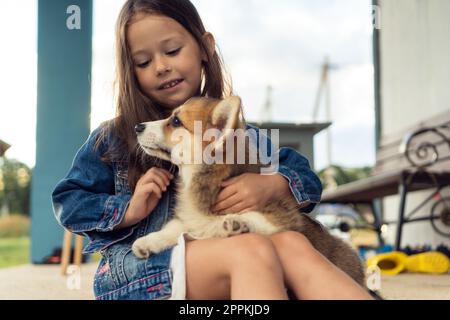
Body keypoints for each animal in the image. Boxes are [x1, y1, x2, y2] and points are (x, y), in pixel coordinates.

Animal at [131, 96, 366, 286]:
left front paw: (237, 222)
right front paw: (147, 241)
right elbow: (173, 228)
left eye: (176, 121)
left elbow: (260, 221)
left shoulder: (283, 219)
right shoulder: (191, 221)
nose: (137, 127)